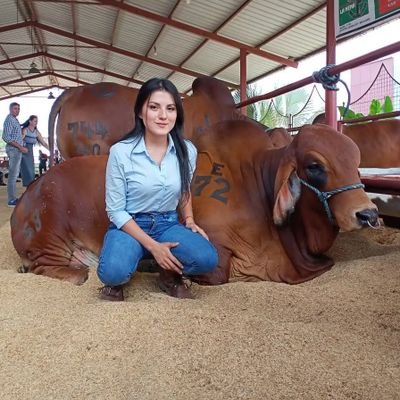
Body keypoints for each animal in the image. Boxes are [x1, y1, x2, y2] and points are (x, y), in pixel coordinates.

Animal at [10, 122, 376, 284]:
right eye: (314, 166)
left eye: (357, 161)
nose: (368, 213)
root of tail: (29, 194)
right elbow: (219, 273)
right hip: (52, 236)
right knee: (62, 270)